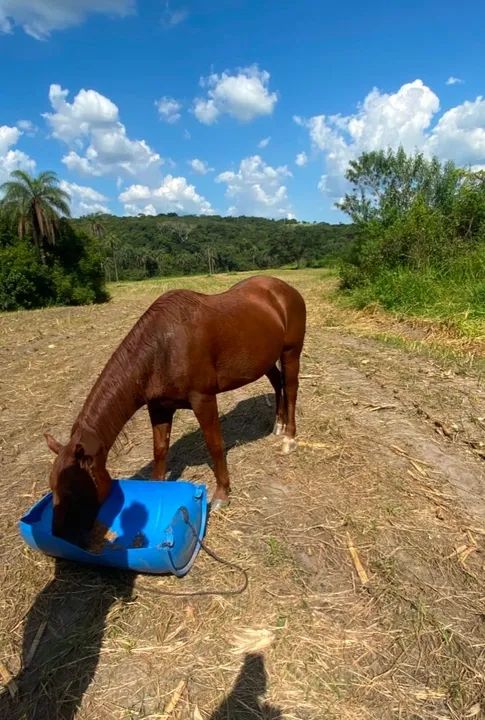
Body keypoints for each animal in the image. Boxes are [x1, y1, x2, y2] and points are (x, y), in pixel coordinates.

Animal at [44, 275, 306, 546]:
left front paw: (222, 494)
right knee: (277, 383)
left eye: (73, 491)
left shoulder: (203, 400)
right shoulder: (159, 408)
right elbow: (160, 450)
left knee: (291, 388)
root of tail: (284, 288)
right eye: (52, 487)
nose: (59, 534)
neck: (163, 346)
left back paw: (289, 438)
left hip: (290, 352)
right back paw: (278, 425)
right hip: (265, 359)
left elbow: (214, 445)